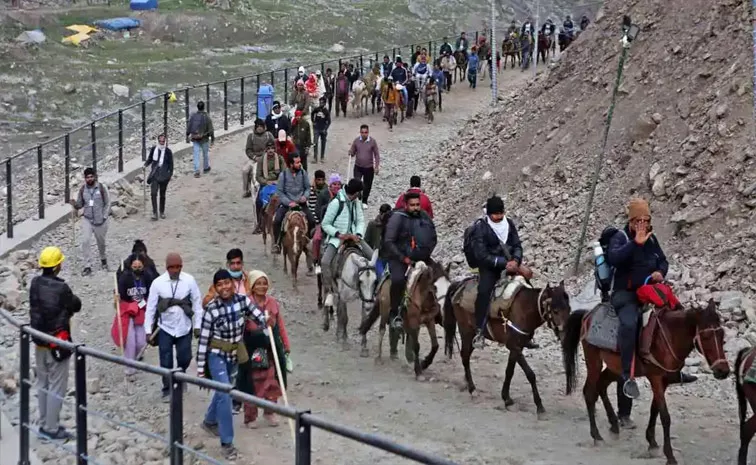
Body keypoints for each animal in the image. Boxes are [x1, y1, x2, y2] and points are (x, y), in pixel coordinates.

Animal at [442, 276, 568, 414]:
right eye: (555, 311)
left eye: (569, 309)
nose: (565, 335)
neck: (526, 309)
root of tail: (460, 284)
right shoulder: (514, 346)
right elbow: (530, 374)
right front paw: (539, 405)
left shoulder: (517, 347)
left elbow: (509, 371)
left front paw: (506, 398)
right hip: (466, 331)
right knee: (465, 356)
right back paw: (472, 388)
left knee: (466, 355)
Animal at [560, 300, 732, 462]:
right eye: (706, 336)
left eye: (722, 336)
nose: (723, 371)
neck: (669, 336)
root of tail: (587, 314)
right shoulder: (655, 377)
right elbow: (665, 416)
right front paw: (669, 456)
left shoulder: (664, 381)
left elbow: (654, 409)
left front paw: (652, 443)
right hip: (594, 360)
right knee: (589, 392)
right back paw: (597, 436)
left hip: (615, 367)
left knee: (601, 385)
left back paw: (614, 425)